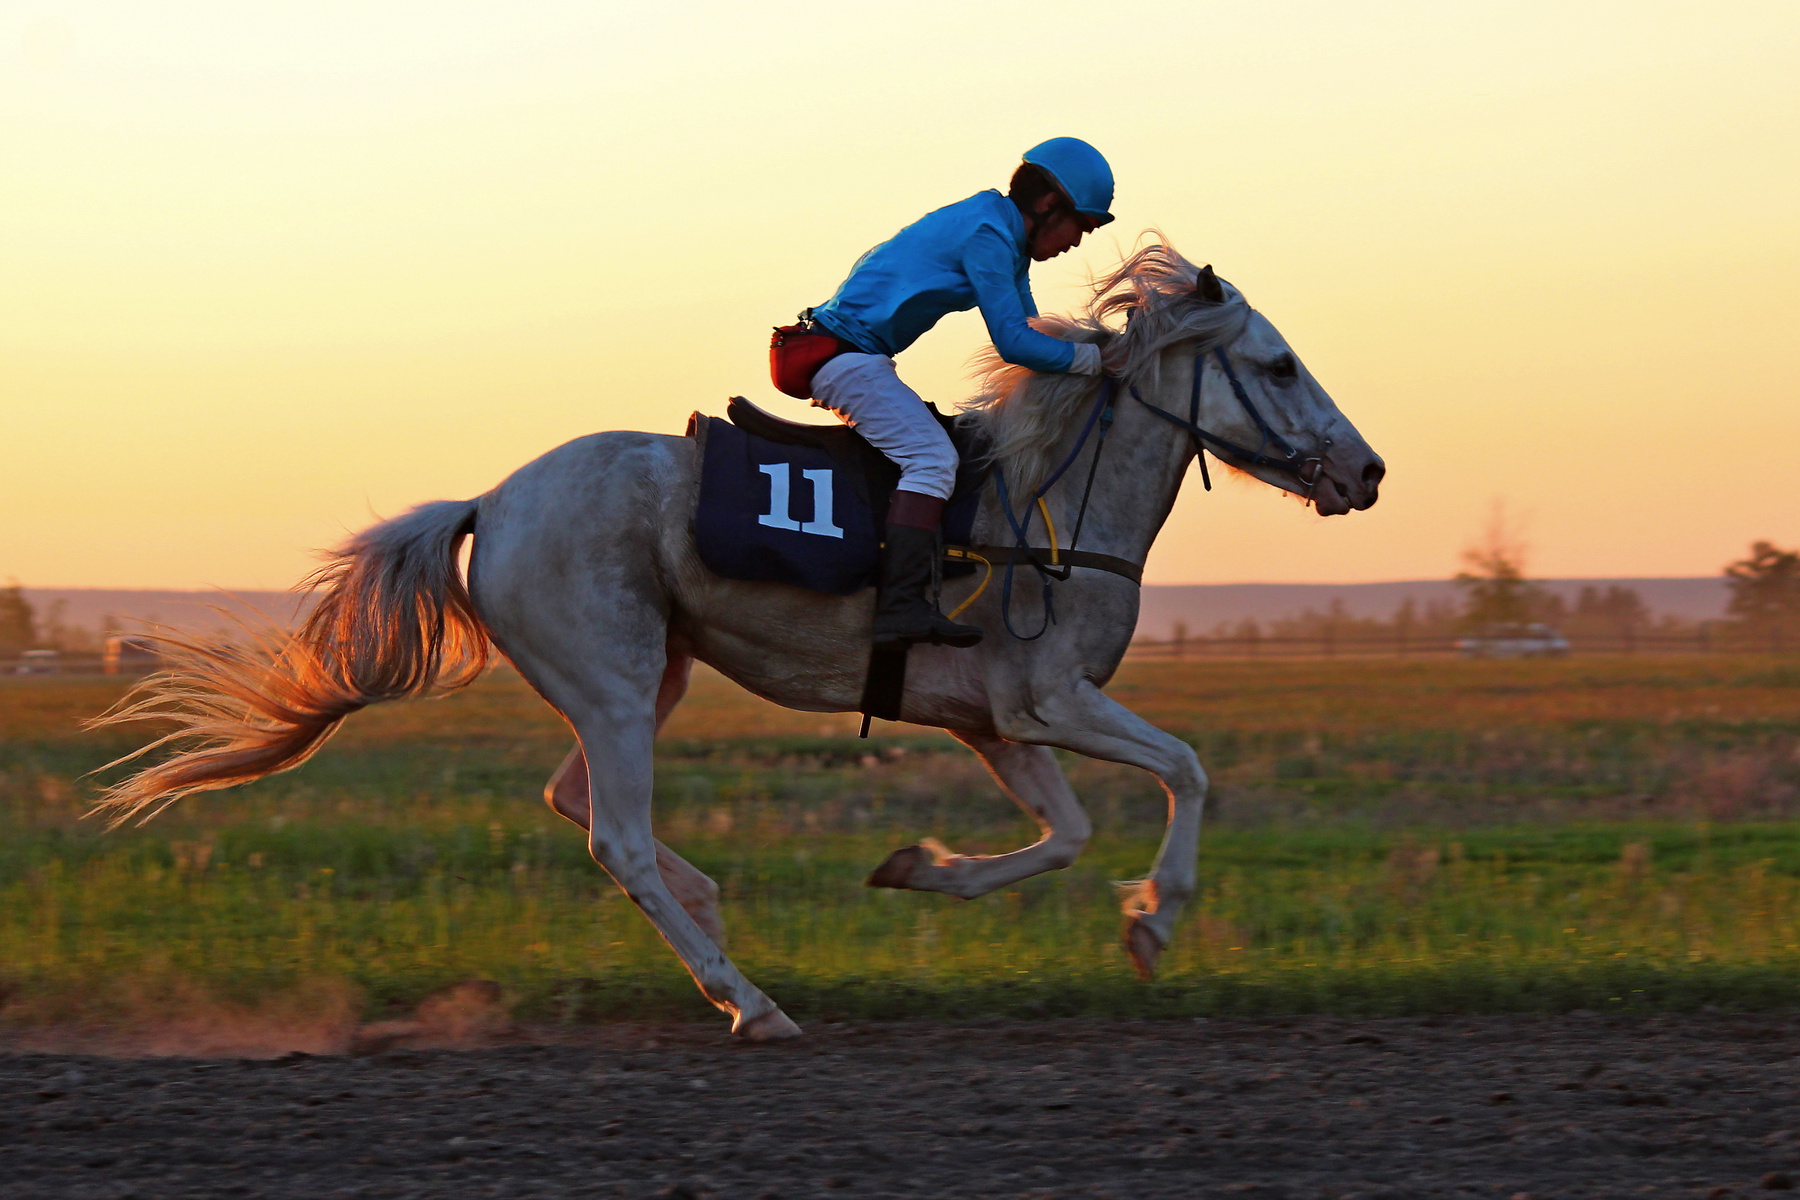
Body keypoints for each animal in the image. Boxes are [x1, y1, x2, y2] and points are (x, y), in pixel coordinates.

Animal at [94, 241, 1384, 1040]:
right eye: (1277, 364)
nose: (1365, 471)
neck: (1048, 506)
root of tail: (490, 502)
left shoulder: (997, 721)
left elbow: (1062, 835)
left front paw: (921, 869)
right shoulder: (1050, 700)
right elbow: (1187, 770)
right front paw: (1156, 922)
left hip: (649, 674)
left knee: (577, 804)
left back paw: (710, 908)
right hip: (616, 683)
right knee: (611, 833)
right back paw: (748, 997)